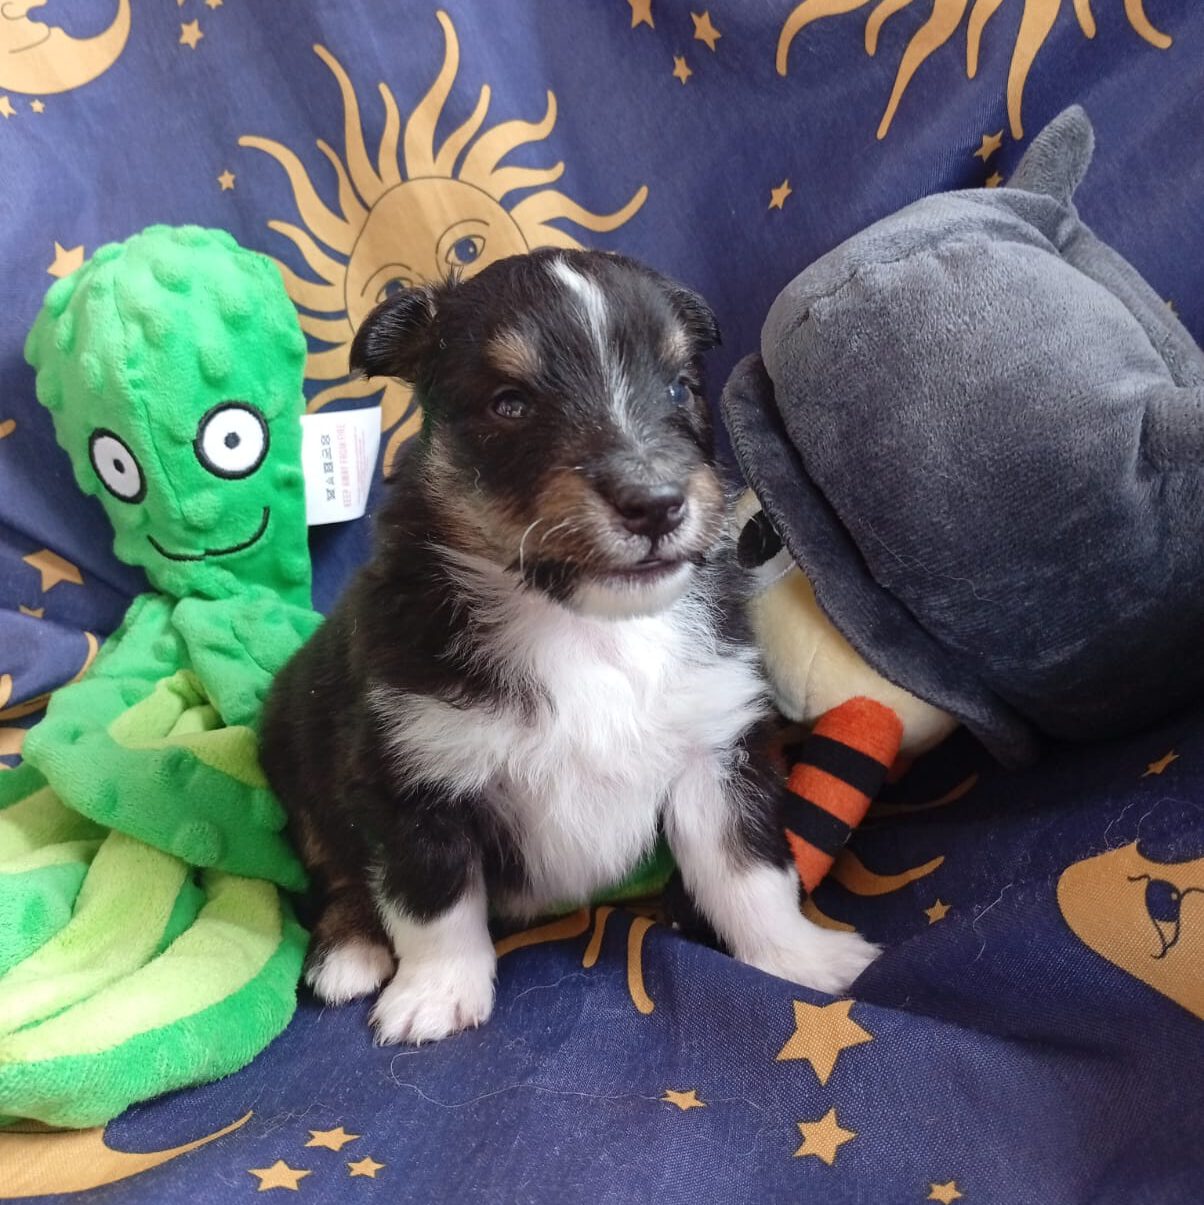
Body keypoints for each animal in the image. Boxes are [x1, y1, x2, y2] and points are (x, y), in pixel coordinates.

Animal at [259, 248, 879, 1044]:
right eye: (510, 403)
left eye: (679, 387)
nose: (656, 504)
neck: (587, 627)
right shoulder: (412, 776)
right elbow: (435, 905)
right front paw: (435, 997)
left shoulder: (715, 749)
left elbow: (750, 871)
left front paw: (803, 958)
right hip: (296, 753)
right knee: (337, 870)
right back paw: (351, 950)